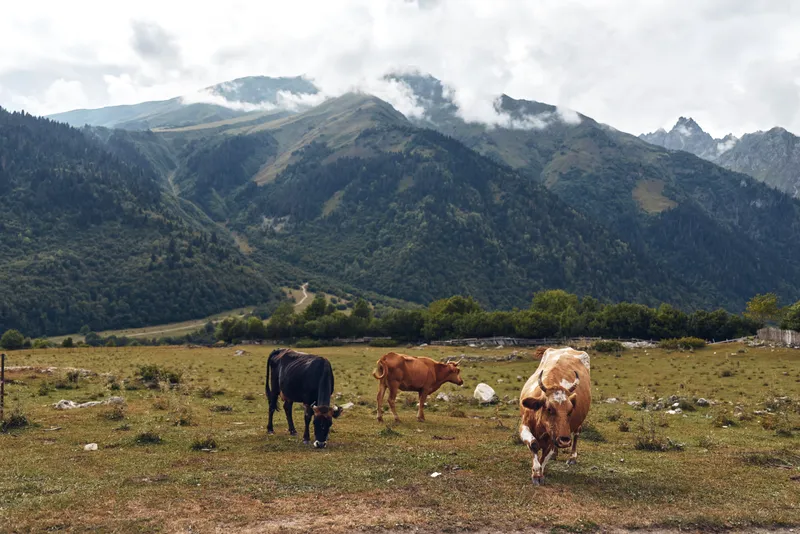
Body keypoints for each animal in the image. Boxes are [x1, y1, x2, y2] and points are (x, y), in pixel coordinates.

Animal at [518, 346, 591, 485]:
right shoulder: (524, 426)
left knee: (577, 434)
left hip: (577, 425)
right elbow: (534, 444)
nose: (565, 440)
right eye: (549, 409)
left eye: (570, 410)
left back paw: (572, 457)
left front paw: (539, 474)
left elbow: (545, 456)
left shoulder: (554, 438)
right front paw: (536, 472)